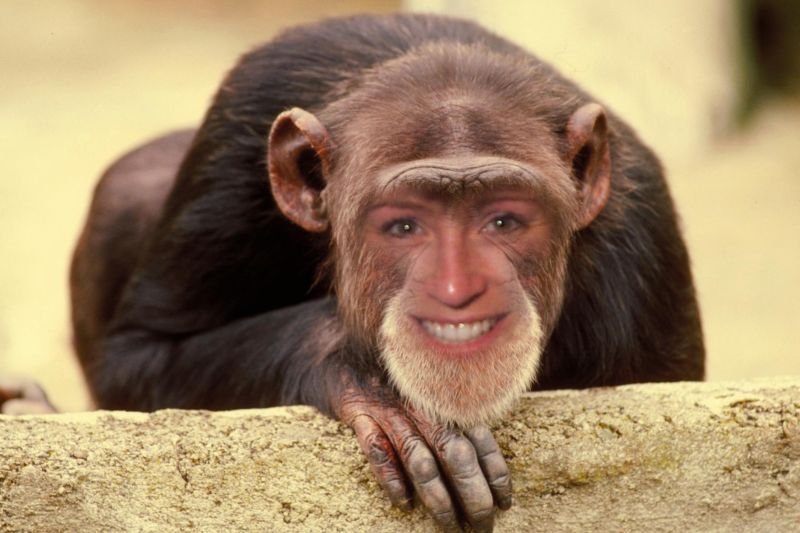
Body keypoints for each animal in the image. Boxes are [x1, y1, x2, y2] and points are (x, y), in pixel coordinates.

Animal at [2, 14, 704, 531]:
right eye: (404, 225)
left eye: (505, 220)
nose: (459, 289)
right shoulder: (235, 138)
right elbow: (140, 354)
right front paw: (371, 379)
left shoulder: (640, 253)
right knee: (131, 181)